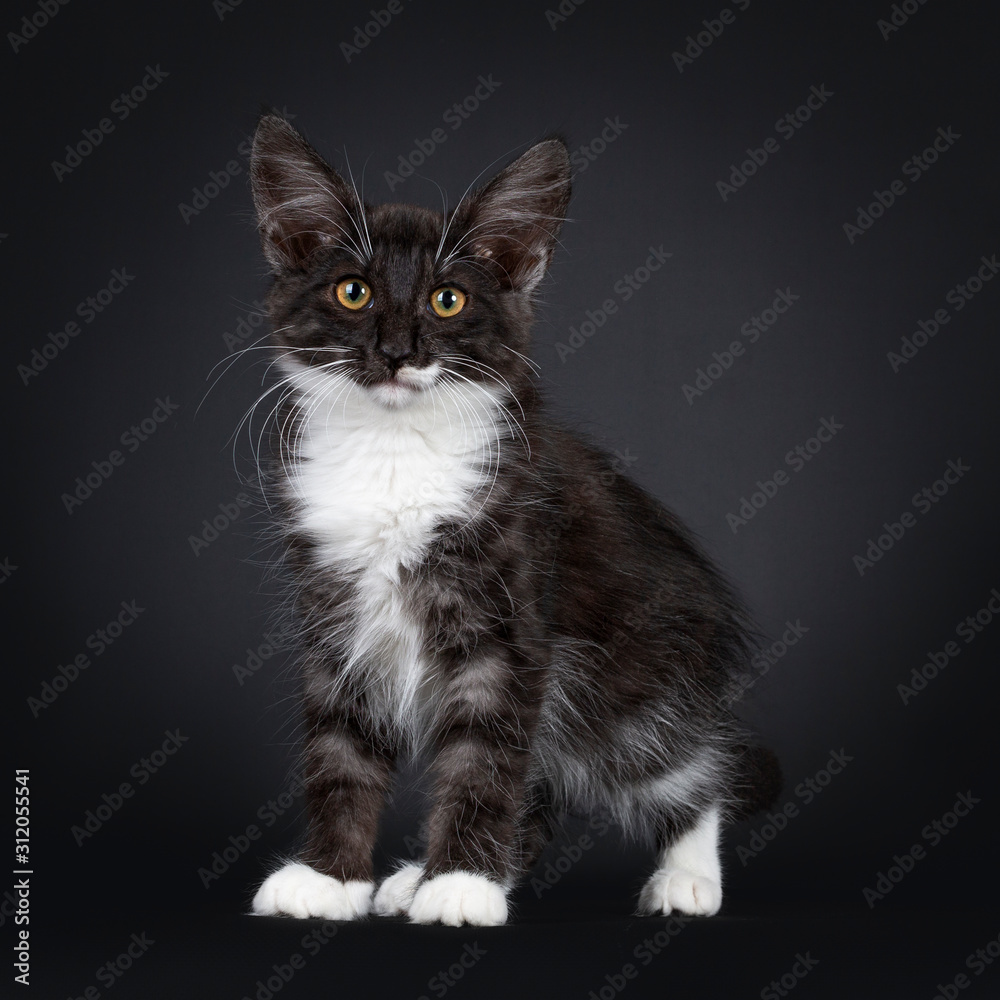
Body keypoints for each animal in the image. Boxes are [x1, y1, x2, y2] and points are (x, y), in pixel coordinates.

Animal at [246, 113, 776, 924]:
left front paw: (463, 884)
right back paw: (417, 877)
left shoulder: (513, 623)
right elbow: (340, 750)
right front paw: (331, 878)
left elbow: (484, 760)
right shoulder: (335, 617)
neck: (395, 449)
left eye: (447, 301)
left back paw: (688, 876)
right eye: (352, 291)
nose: (397, 352)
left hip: (633, 681)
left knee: (688, 763)